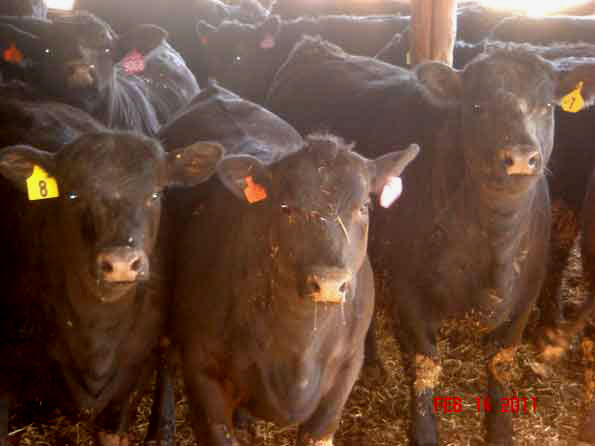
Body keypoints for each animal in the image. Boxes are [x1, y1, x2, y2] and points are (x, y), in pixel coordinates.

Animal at [266, 36, 595, 444]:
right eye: (476, 106)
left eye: (547, 106)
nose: (519, 157)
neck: (494, 249)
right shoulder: (409, 293)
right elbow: (424, 365)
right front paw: (424, 431)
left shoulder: (525, 297)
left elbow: (500, 363)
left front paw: (501, 430)